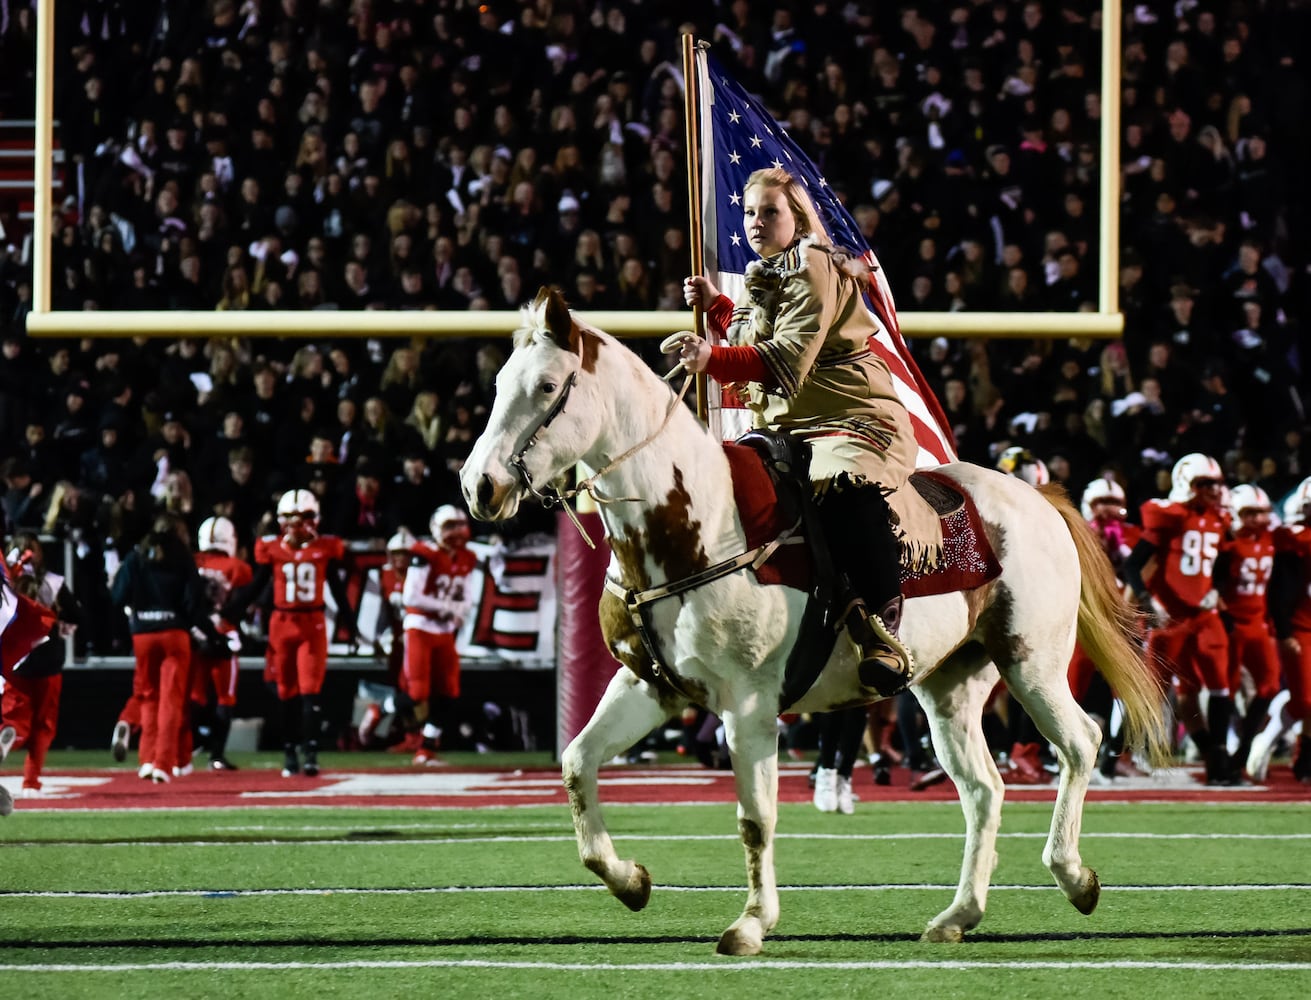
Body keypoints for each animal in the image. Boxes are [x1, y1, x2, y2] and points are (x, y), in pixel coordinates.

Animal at [461, 285, 1169, 959]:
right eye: (497, 386)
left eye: (546, 386)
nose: (479, 486)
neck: (702, 523)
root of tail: (1039, 500)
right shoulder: (651, 686)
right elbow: (577, 764)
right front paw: (630, 880)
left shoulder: (748, 704)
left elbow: (755, 818)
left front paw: (750, 924)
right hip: (949, 686)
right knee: (983, 790)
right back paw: (958, 916)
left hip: (1032, 662)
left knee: (1079, 741)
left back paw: (1074, 876)